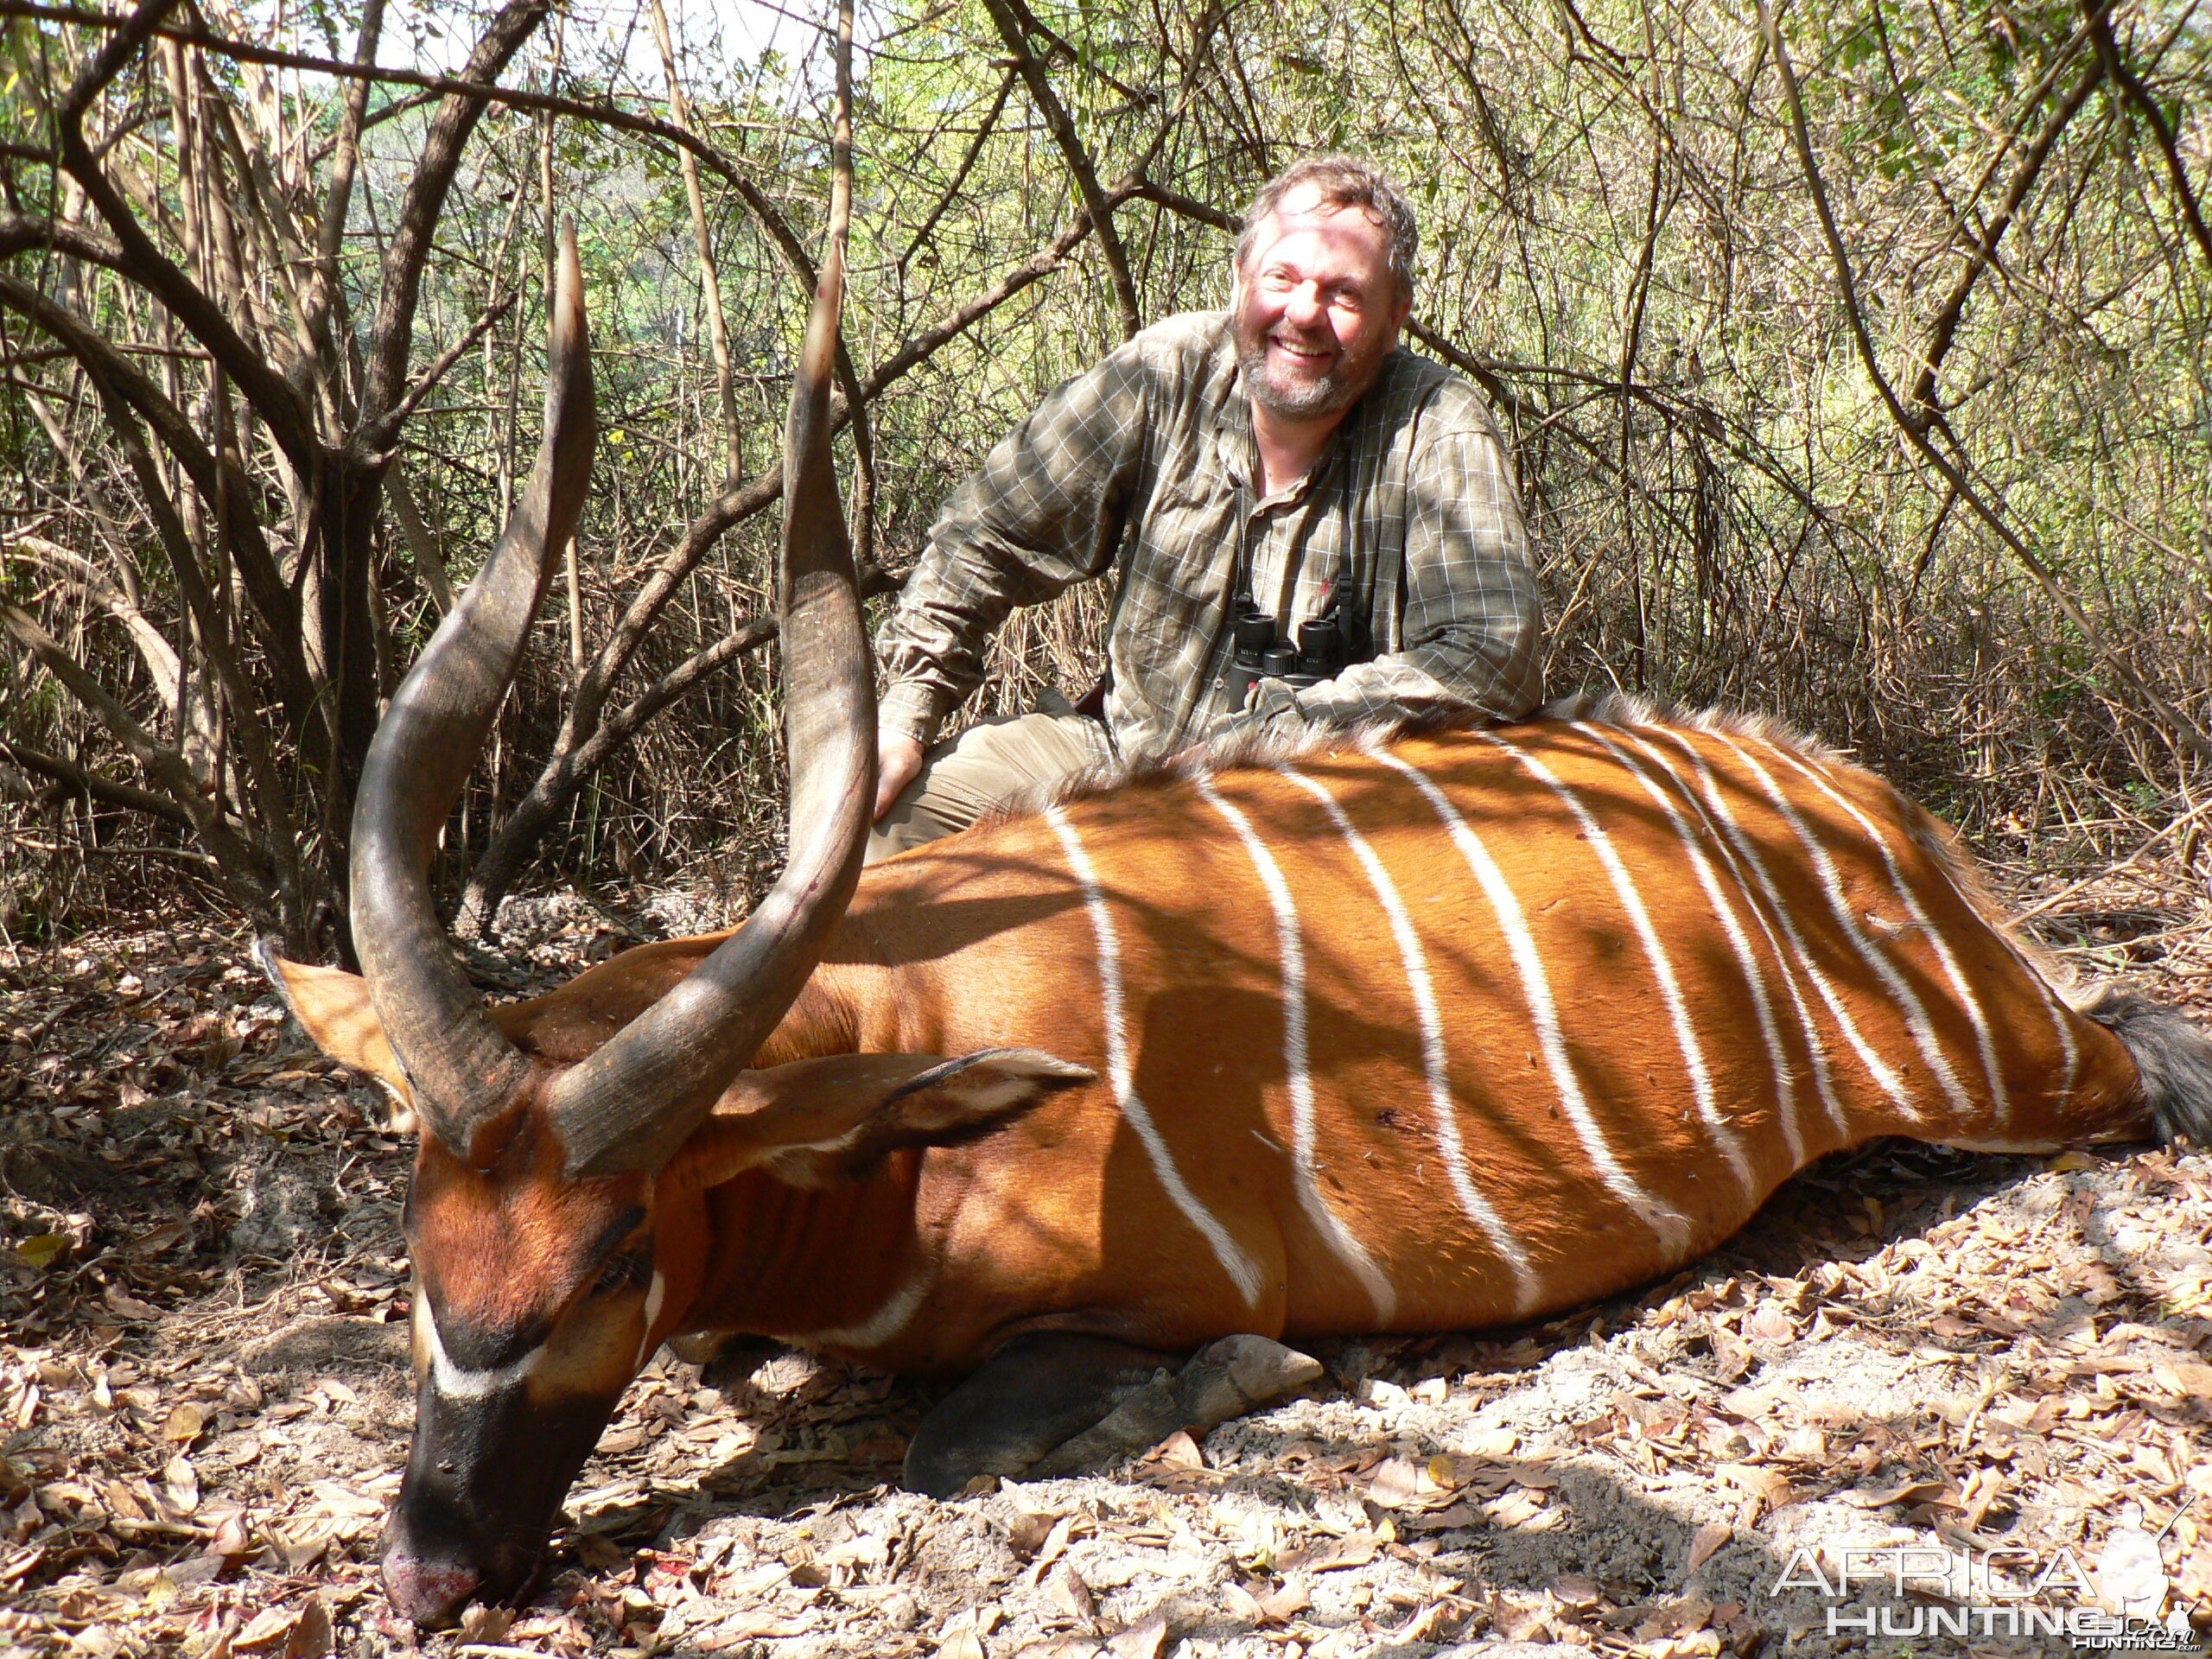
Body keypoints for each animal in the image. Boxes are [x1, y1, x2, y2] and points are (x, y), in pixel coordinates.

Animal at [263, 227, 2212, 1628]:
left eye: (609, 1260)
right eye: (418, 1248)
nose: (427, 1571)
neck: (904, 1083)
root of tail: (1879, 811)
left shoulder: (1114, 1304)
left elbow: (972, 1438)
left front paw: (1237, 1382)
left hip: (2017, 1074)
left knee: (2142, 1050)